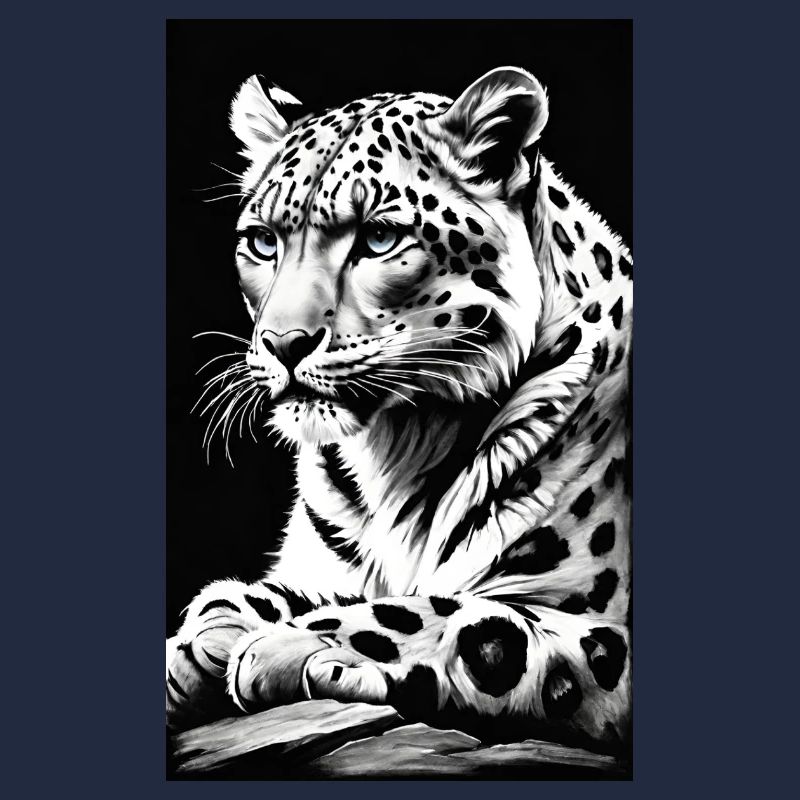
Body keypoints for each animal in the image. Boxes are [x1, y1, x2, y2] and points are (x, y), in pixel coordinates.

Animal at [166, 66, 633, 755]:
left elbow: (450, 613)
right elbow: (303, 588)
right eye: (263, 242)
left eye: (380, 238)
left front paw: (283, 643)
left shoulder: (607, 628)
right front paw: (210, 629)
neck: (397, 448)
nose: (283, 342)